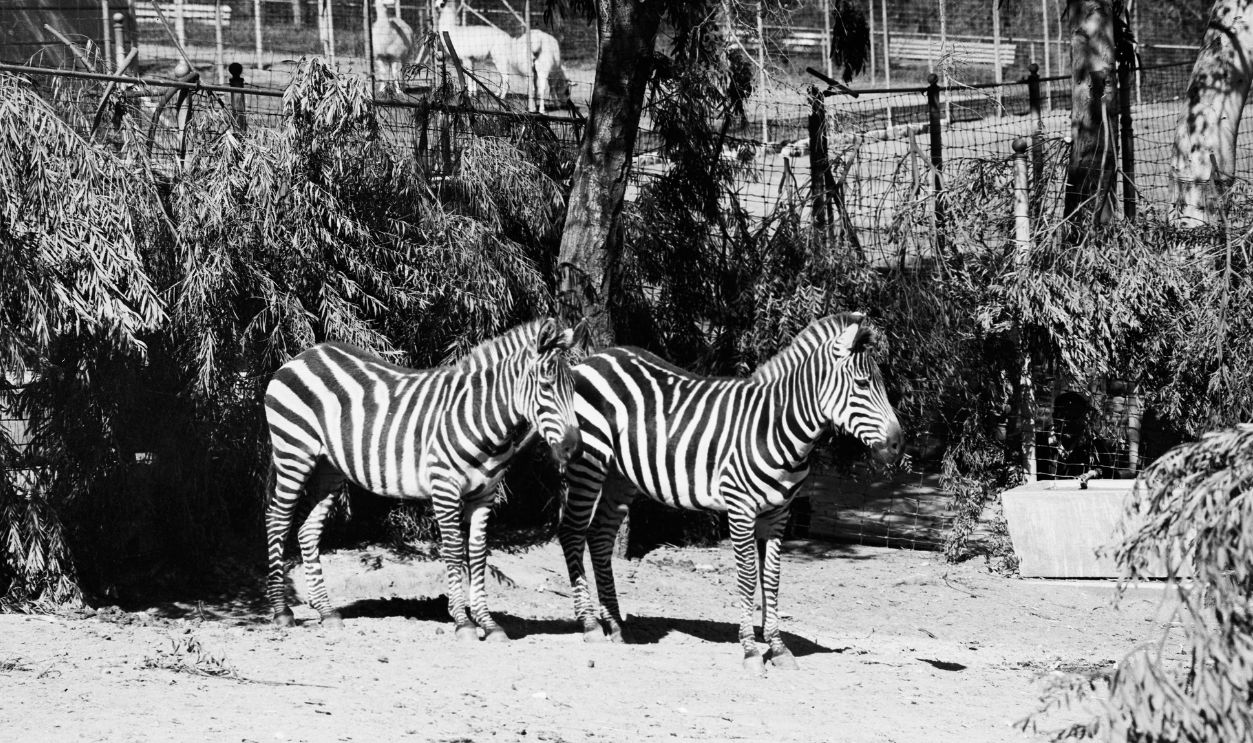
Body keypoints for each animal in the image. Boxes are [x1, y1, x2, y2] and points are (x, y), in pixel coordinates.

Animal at [264, 318, 585, 640]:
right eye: (545, 386)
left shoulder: (486, 494)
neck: (481, 417)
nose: (574, 448)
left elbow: (478, 553)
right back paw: (282, 611)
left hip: (327, 468)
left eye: (574, 389)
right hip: (294, 454)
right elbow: (454, 550)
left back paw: (326, 611)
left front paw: (488, 623)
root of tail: (306, 354)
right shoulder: (445, 487)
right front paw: (463, 622)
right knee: (277, 521)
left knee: (307, 531)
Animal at [557, 312, 903, 673]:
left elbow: (772, 579)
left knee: (599, 536)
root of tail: (593, 359)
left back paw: (614, 625)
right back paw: (590, 625)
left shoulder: (779, 514)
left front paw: (778, 648)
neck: (777, 428)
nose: (898, 444)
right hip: (588, 465)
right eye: (862, 384)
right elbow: (749, 577)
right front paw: (751, 650)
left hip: (620, 477)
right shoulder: (740, 508)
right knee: (572, 532)